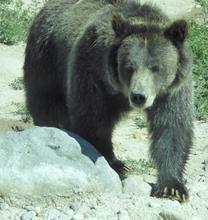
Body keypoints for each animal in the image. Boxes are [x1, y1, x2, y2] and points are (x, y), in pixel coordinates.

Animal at [24, 0, 193, 202]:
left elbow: (172, 127)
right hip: (45, 59)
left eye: (156, 68)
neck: (120, 90)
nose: (139, 96)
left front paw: (171, 187)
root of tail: (44, 9)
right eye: (129, 67)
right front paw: (114, 163)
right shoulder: (92, 73)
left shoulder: (171, 90)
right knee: (47, 104)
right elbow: (92, 120)